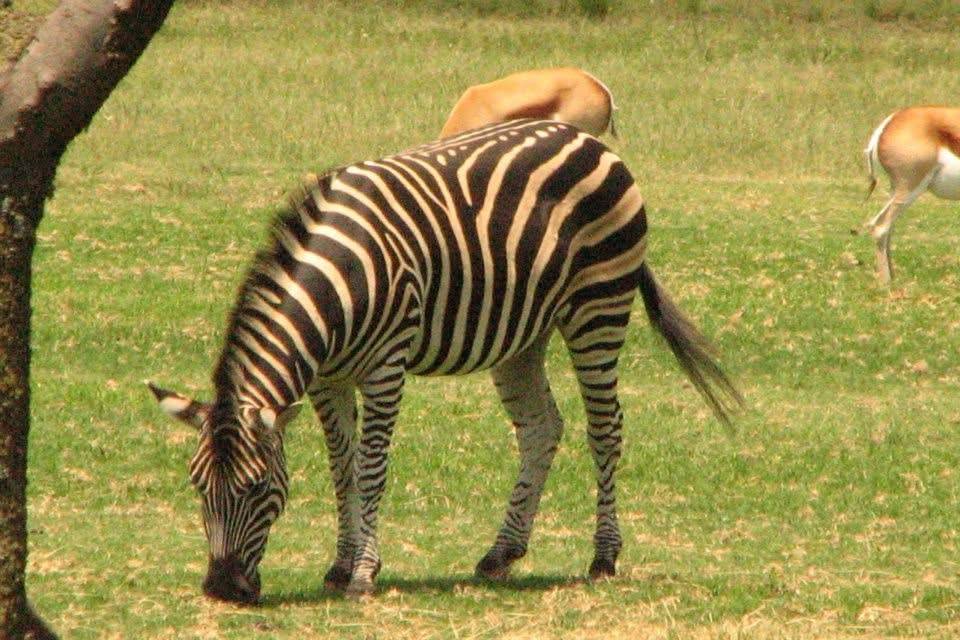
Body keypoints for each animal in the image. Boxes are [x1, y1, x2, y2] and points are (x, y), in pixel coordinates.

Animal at [149, 118, 742, 601]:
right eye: (198, 487)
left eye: (256, 488)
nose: (222, 589)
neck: (339, 283)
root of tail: (590, 139)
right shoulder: (327, 381)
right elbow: (341, 470)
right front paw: (340, 565)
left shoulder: (385, 367)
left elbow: (370, 468)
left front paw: (363, 574)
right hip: (522, 334)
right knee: (541, 426)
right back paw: (502, 552)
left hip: (600, 304)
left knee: (605, 428)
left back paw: (603, 556)